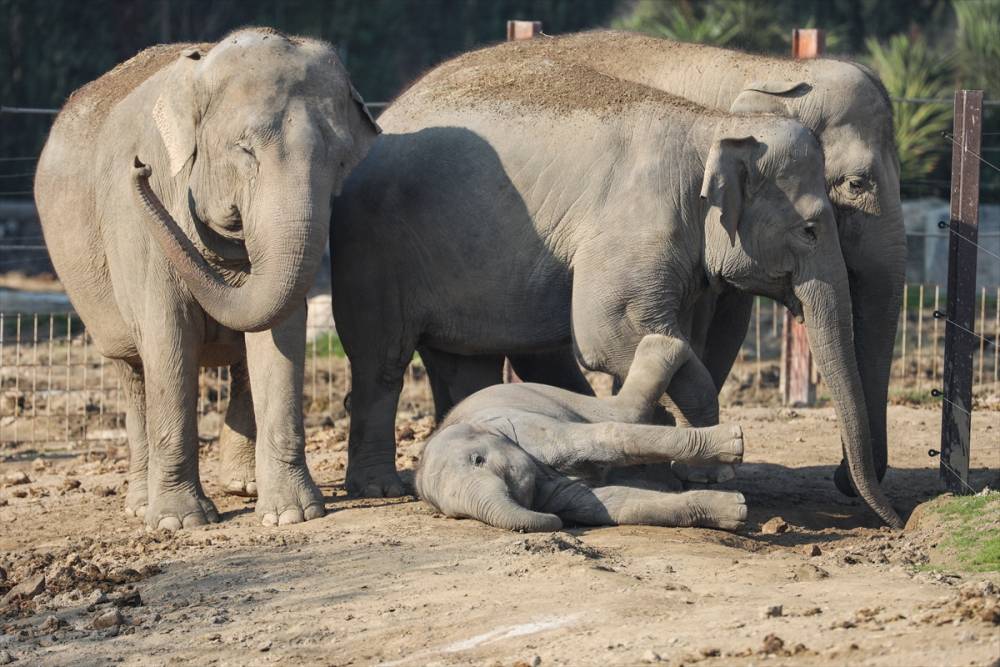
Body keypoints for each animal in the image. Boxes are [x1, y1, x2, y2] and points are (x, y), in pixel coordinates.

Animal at [35, 27, 378, 532]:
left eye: (339, 163)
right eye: (245, 149)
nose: (139, 167)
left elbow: (280, 336)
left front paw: (291, 515)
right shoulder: (138, 234)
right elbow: (168, 336)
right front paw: (179, 522)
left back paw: (244, 486)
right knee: (132, 370)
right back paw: (140, 503)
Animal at [416, 336, 752, 536]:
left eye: (478, 459)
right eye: (457, 515)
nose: (557, 525)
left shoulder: (522, 425)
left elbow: (604, 439)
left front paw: (735, 443)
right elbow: (612, 503)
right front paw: (736, 511)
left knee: (622, 415)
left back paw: (661, 344)